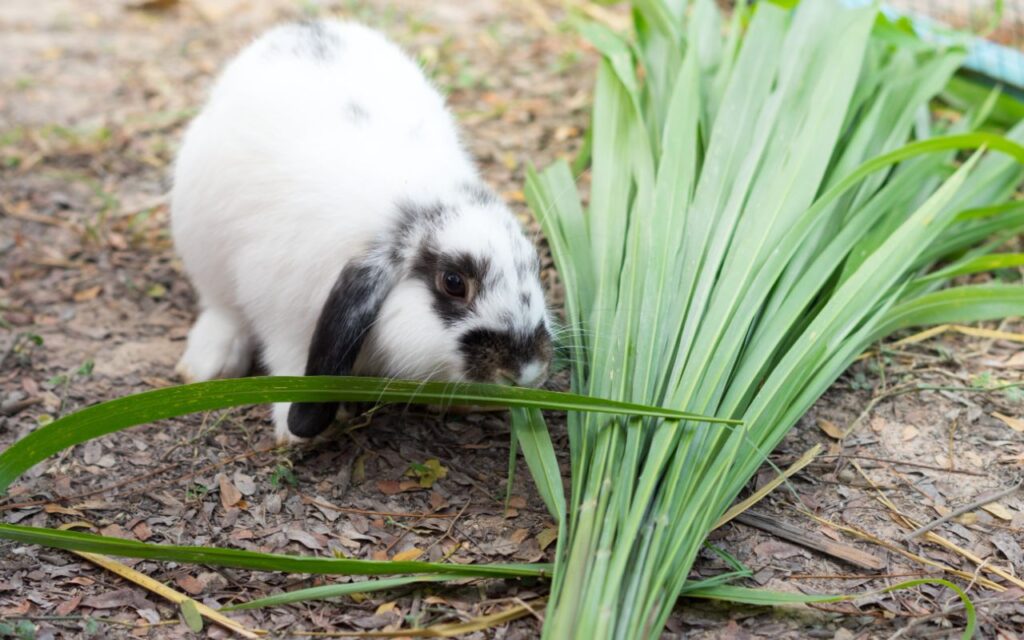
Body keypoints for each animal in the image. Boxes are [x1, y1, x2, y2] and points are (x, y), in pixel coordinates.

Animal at [171, 20, 553, 444]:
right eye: (453, 282)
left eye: (535, 266)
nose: (525, 370)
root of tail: (302, 27)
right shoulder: (282, 311)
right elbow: (289, 360)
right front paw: (302, 430)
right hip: (200, 240)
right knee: (221, 307)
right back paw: (210, 363)